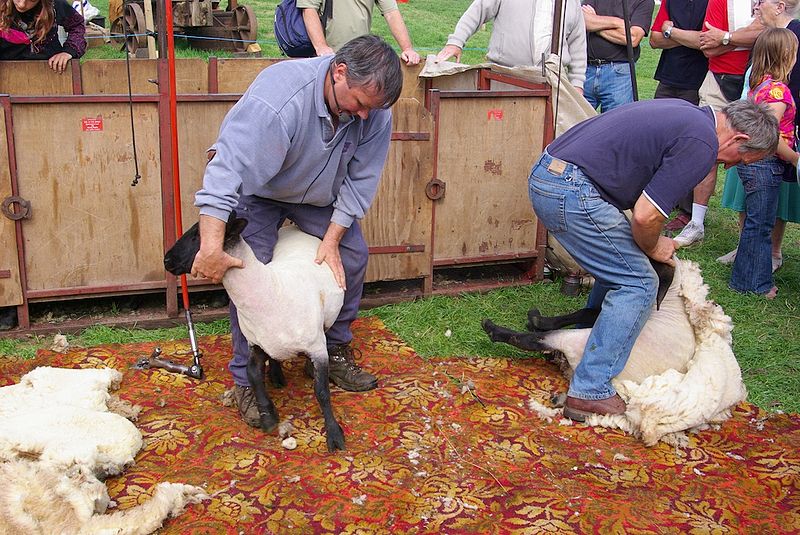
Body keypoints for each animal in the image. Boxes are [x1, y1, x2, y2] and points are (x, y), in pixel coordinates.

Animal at [163, 214, 346, 452]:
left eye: (197, 235)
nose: (166, 260)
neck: (271, 291)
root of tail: (293, 228)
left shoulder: (317, 349)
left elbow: (322, 392)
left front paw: (334, 435)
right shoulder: (255, 345)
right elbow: (252, 375)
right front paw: (267, 417)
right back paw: (277, 376)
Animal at [482, 258, 752, 446]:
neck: (672, 298)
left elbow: (583, 315)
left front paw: (534, 321)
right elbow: (586, 311)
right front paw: (538, 319)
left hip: (575, 341)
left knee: (534, 341)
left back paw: (496, 328)